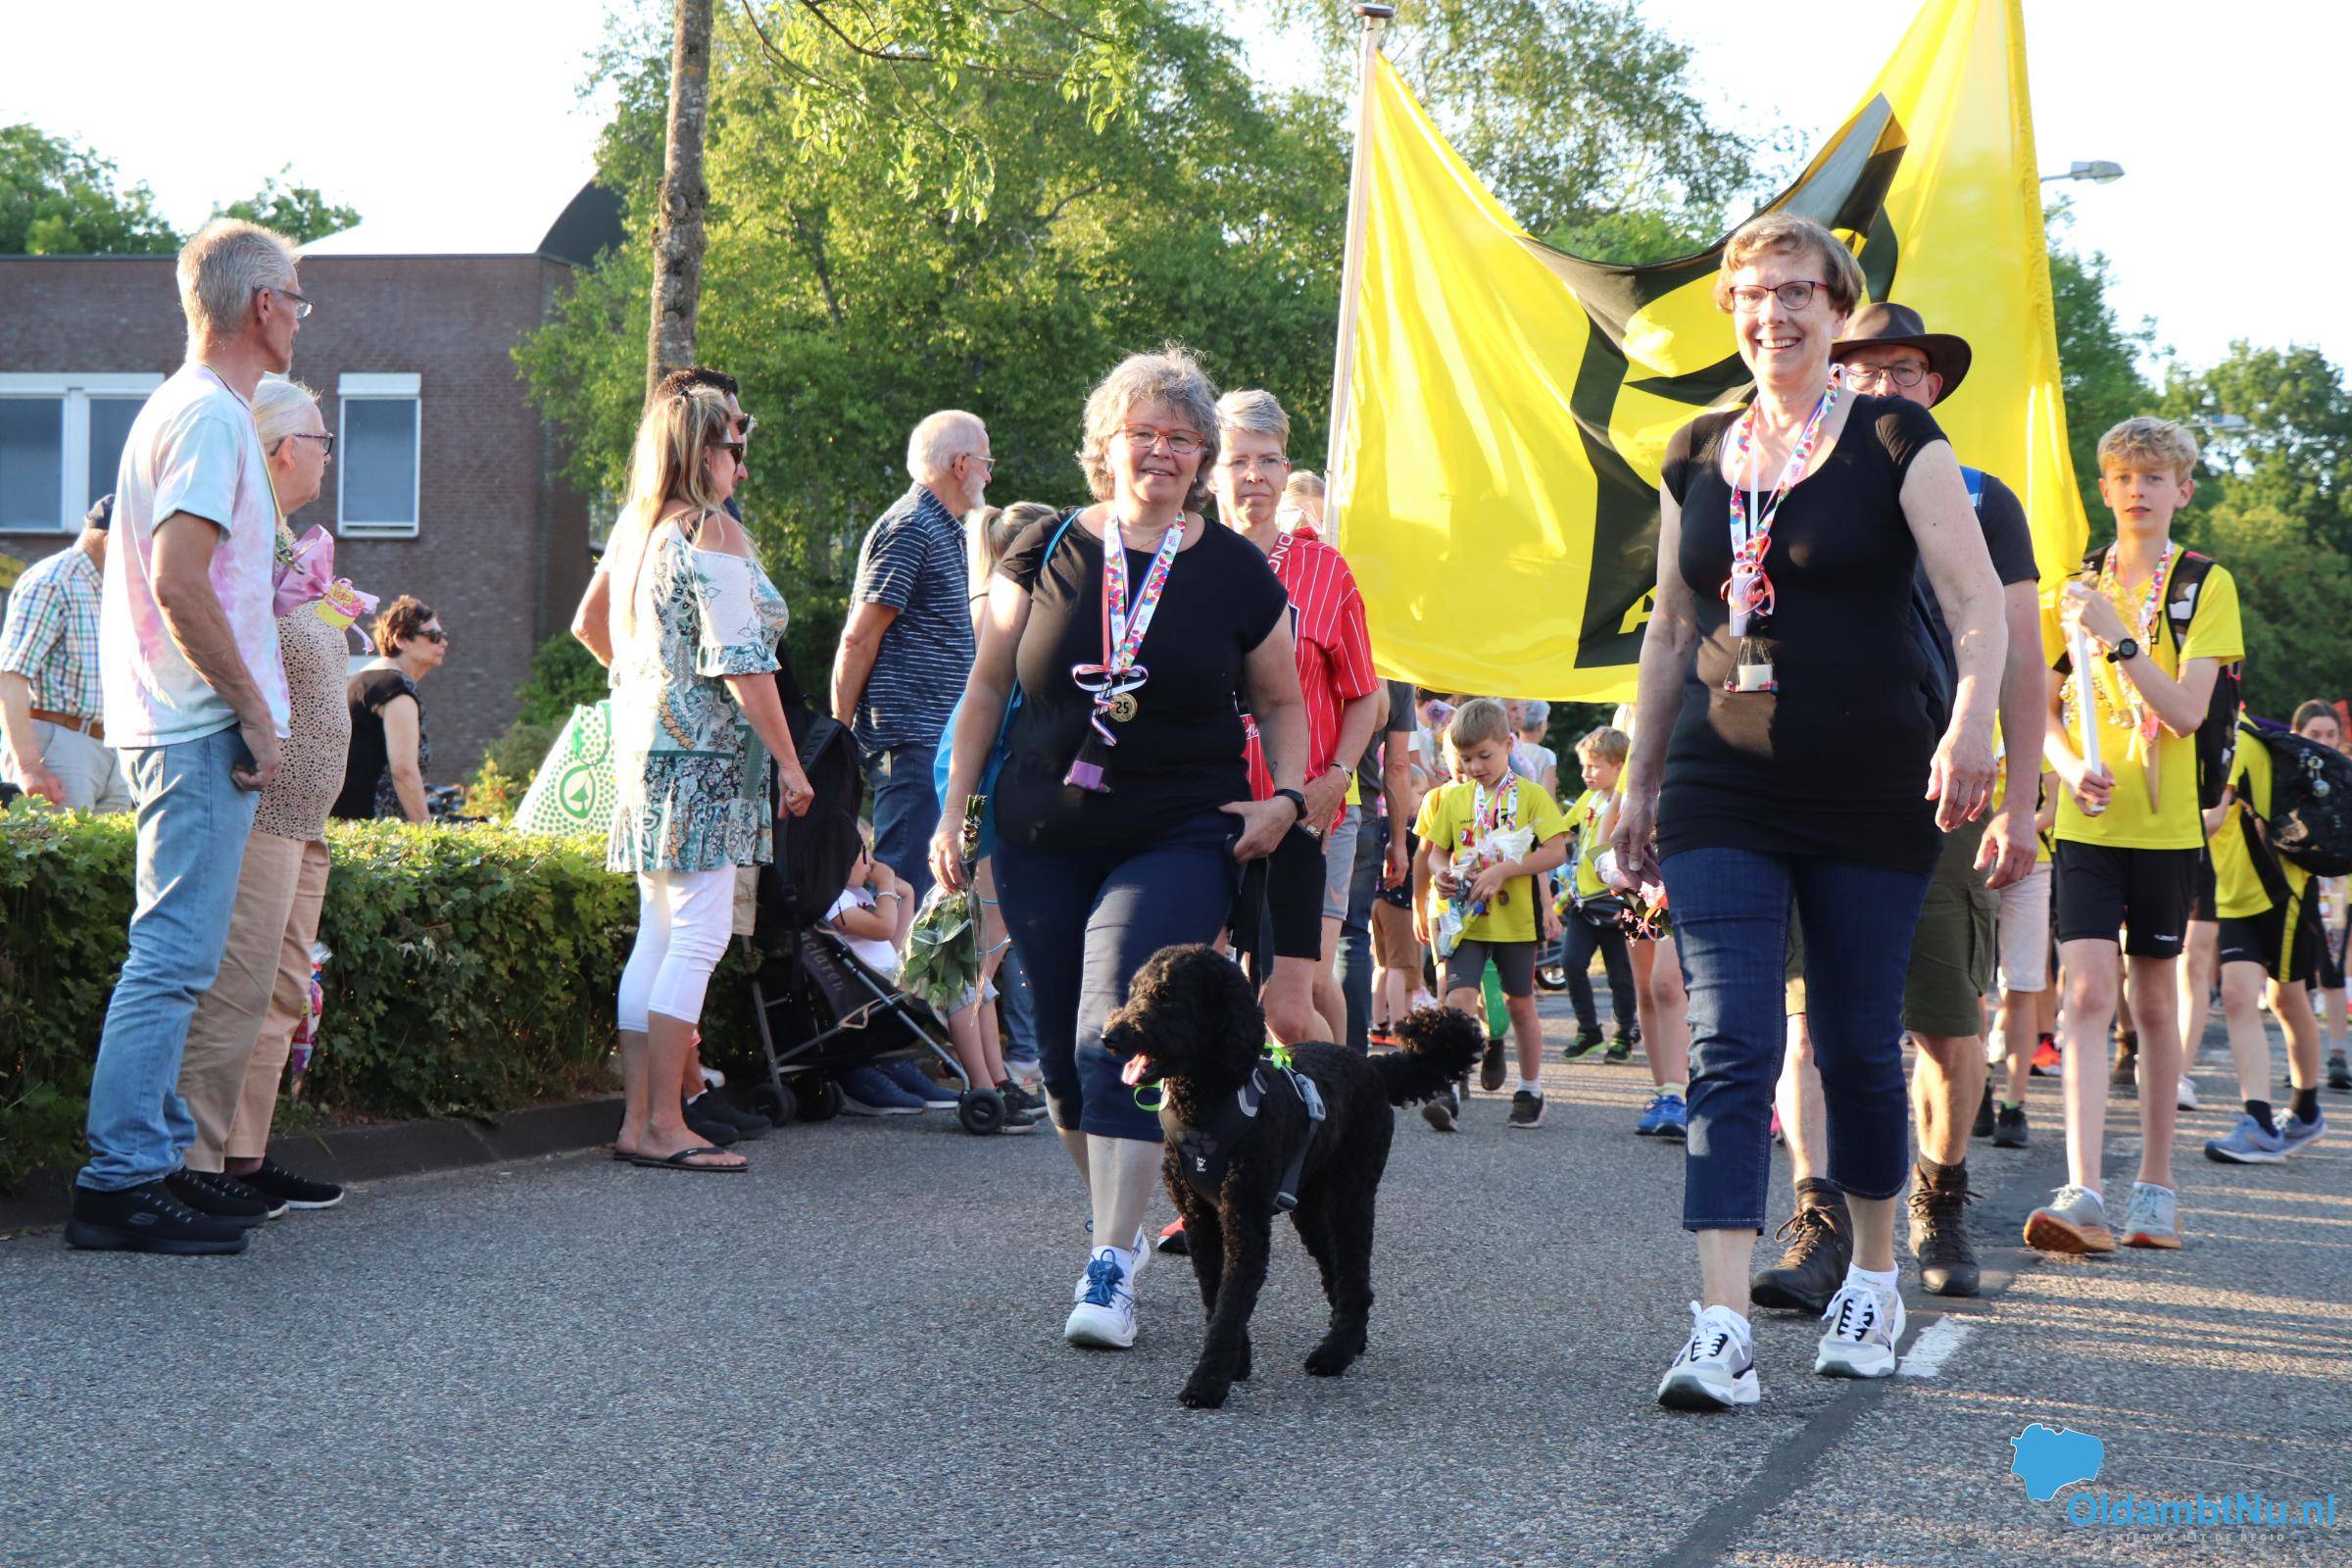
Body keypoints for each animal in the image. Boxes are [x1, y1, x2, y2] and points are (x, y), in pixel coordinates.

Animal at [1103, 943, 1484, 1409]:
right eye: (1134, 990)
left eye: (1166, 995)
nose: (1110, 1036)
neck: (1211, 1101)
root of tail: (1372, 1066)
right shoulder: (1200, 1220)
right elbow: (1215, 1292)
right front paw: (1237, 1362)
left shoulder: (1245, 1221)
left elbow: (1231, 1301)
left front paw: (1209, 1382)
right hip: (1312, 1207)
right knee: (1338, 1271)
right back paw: (1350, 1339)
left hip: (1351, 1193)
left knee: (1354, 1272)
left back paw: (1334, 1353)